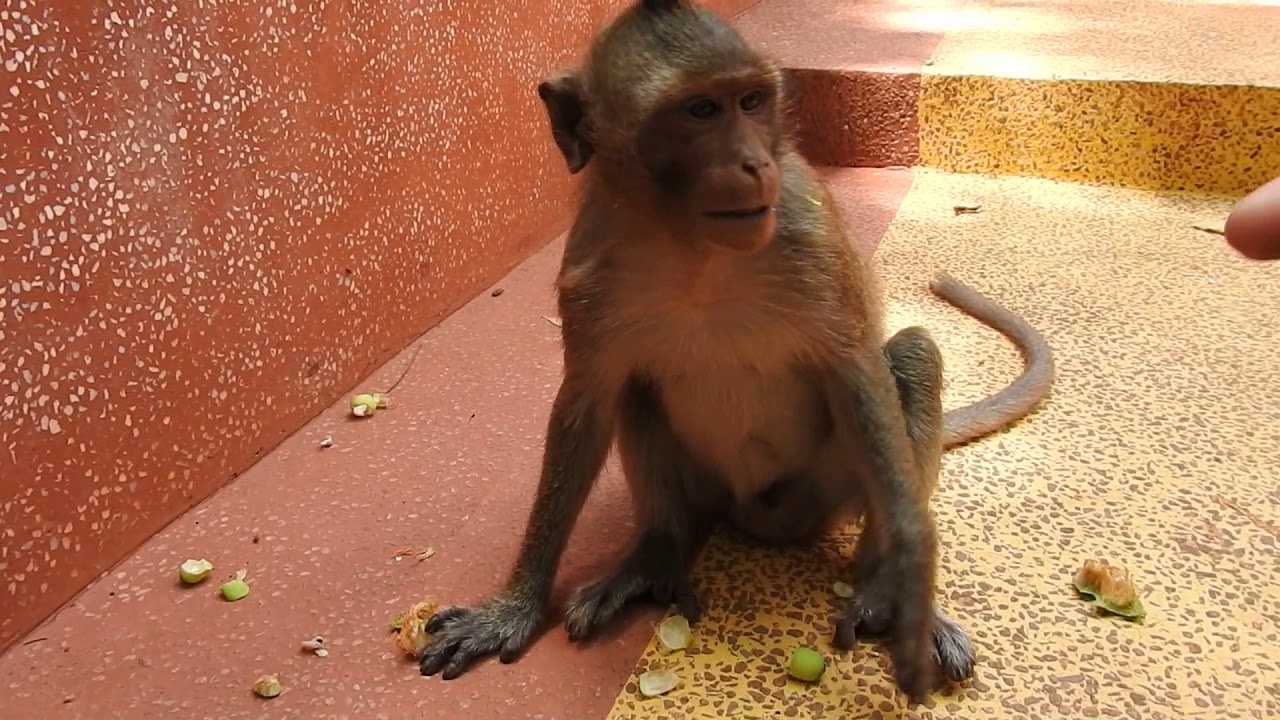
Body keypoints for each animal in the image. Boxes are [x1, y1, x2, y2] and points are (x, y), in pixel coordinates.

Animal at [418, 0, 1054, 703]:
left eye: (751, 101)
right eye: (700, 111)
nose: (753, 164)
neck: (696, 251)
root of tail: (761, 517)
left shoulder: (808, 232)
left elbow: (857, 371)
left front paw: (911, 591)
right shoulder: (588, 266)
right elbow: (587, 405)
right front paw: (515, 608)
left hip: (826, 487)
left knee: (911, 358)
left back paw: (884, 586)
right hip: (711, 486)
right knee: (637, 396)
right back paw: (655, 555)